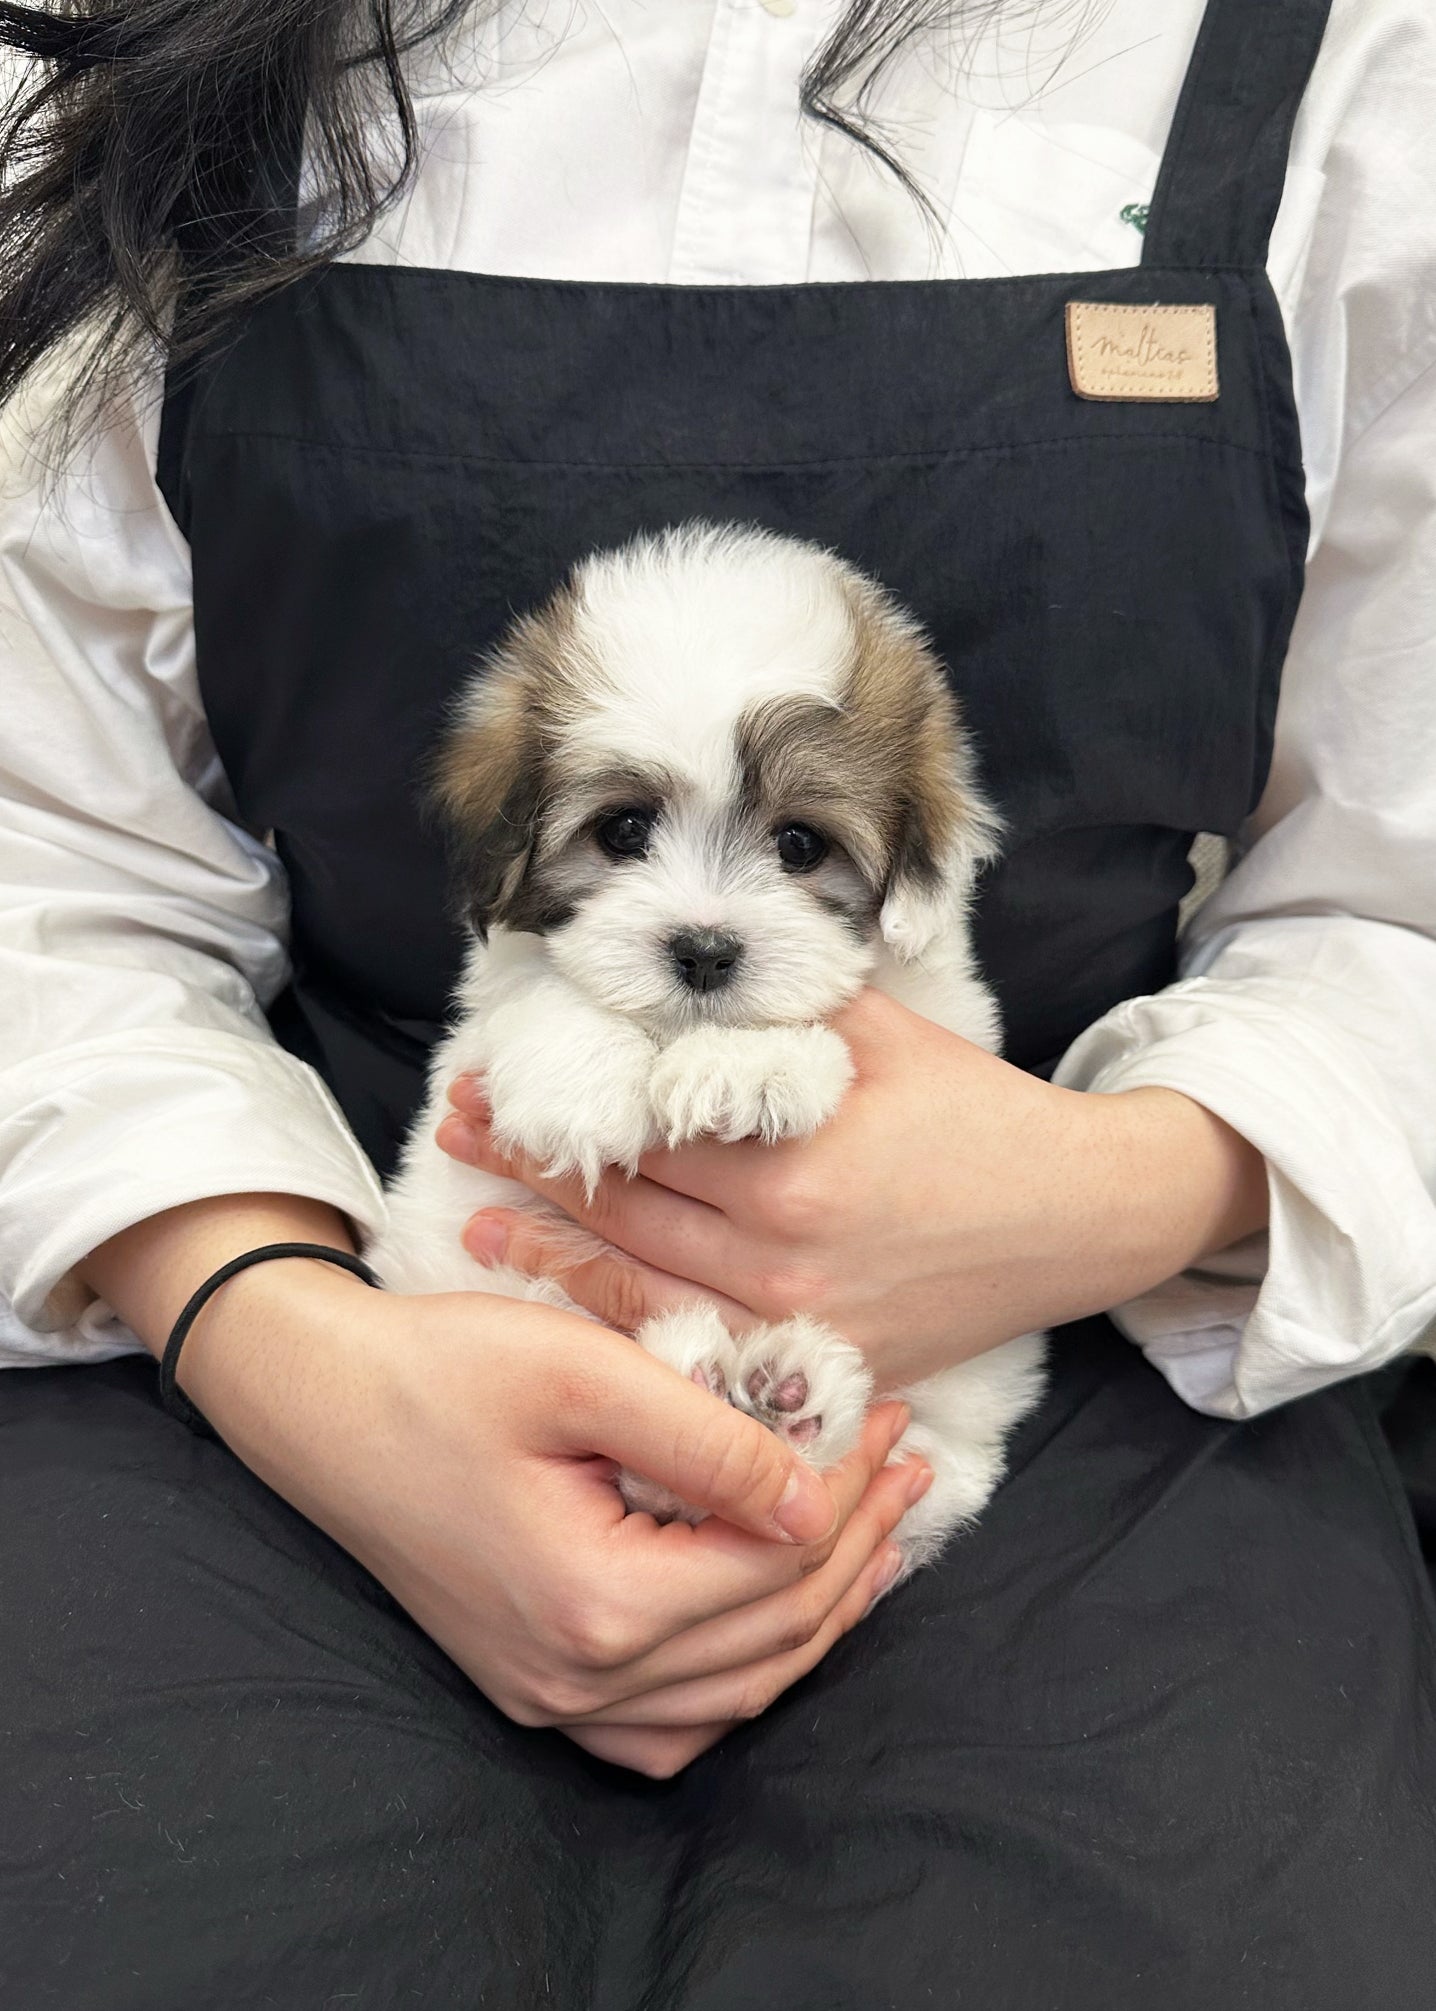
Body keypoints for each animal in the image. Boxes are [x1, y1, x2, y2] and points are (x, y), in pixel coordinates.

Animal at [370, 526, 1037, 1576]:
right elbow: (534, 987)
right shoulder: (497, 982)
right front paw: (579, 1080)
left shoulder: (940, 1002)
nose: (705, 950)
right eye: (623, 829)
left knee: (930, 1467)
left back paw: (785, 1396)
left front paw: (744, 1064)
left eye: (800, 845)